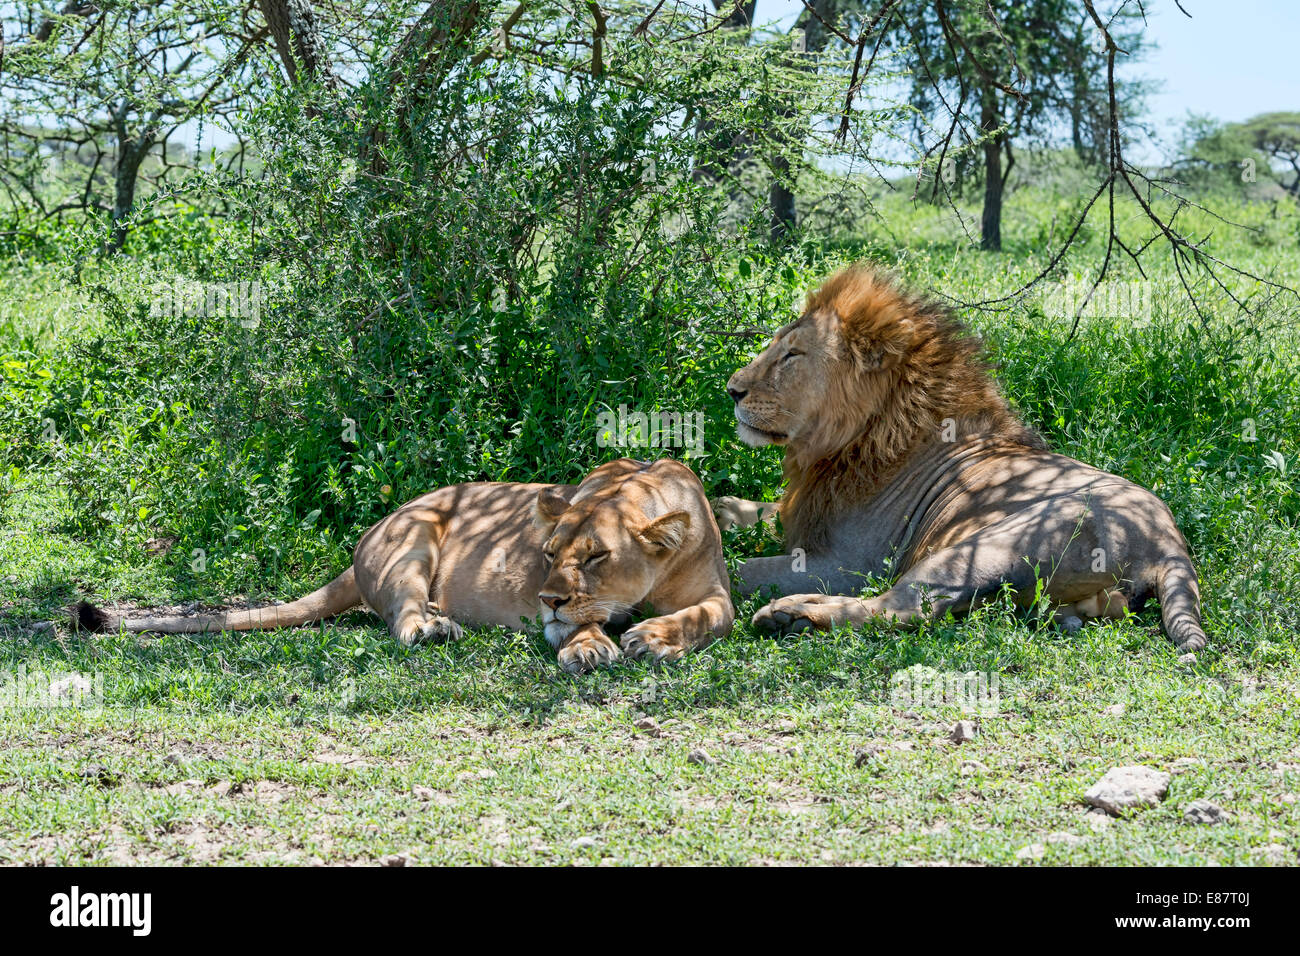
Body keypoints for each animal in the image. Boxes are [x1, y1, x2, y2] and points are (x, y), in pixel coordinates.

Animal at [76, 457, 738, 671]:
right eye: (548, 556)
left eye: (598, 555)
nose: (547, 600)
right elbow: (582, 624)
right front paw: (591, 645)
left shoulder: (716, 594)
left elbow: (706, 617)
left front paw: (654, 636)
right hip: (416, 535)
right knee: (401, 618)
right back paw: (435, 626)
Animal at [717, 264, 1201, 650]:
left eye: (792, 355)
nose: (732, 390)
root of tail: (1169, 544)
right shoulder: (806, 514)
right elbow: (758, 512)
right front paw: (723, 508)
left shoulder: (845, 562)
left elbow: (739, 569)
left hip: (987, 546)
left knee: (903, 607)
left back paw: (791, 615)